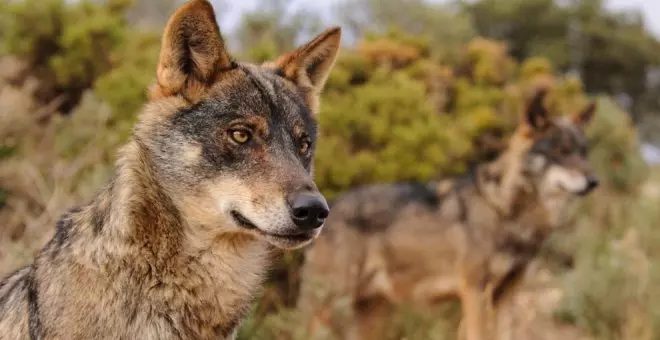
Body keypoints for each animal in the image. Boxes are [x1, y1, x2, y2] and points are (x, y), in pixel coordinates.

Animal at [300, 89, 600, 340]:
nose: (594, 181)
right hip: (329, 308)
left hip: (373, 316)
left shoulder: (507, 296)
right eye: (561, 151)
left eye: (584, 152)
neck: (504, 210)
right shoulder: (475, 292)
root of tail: (329, 206)